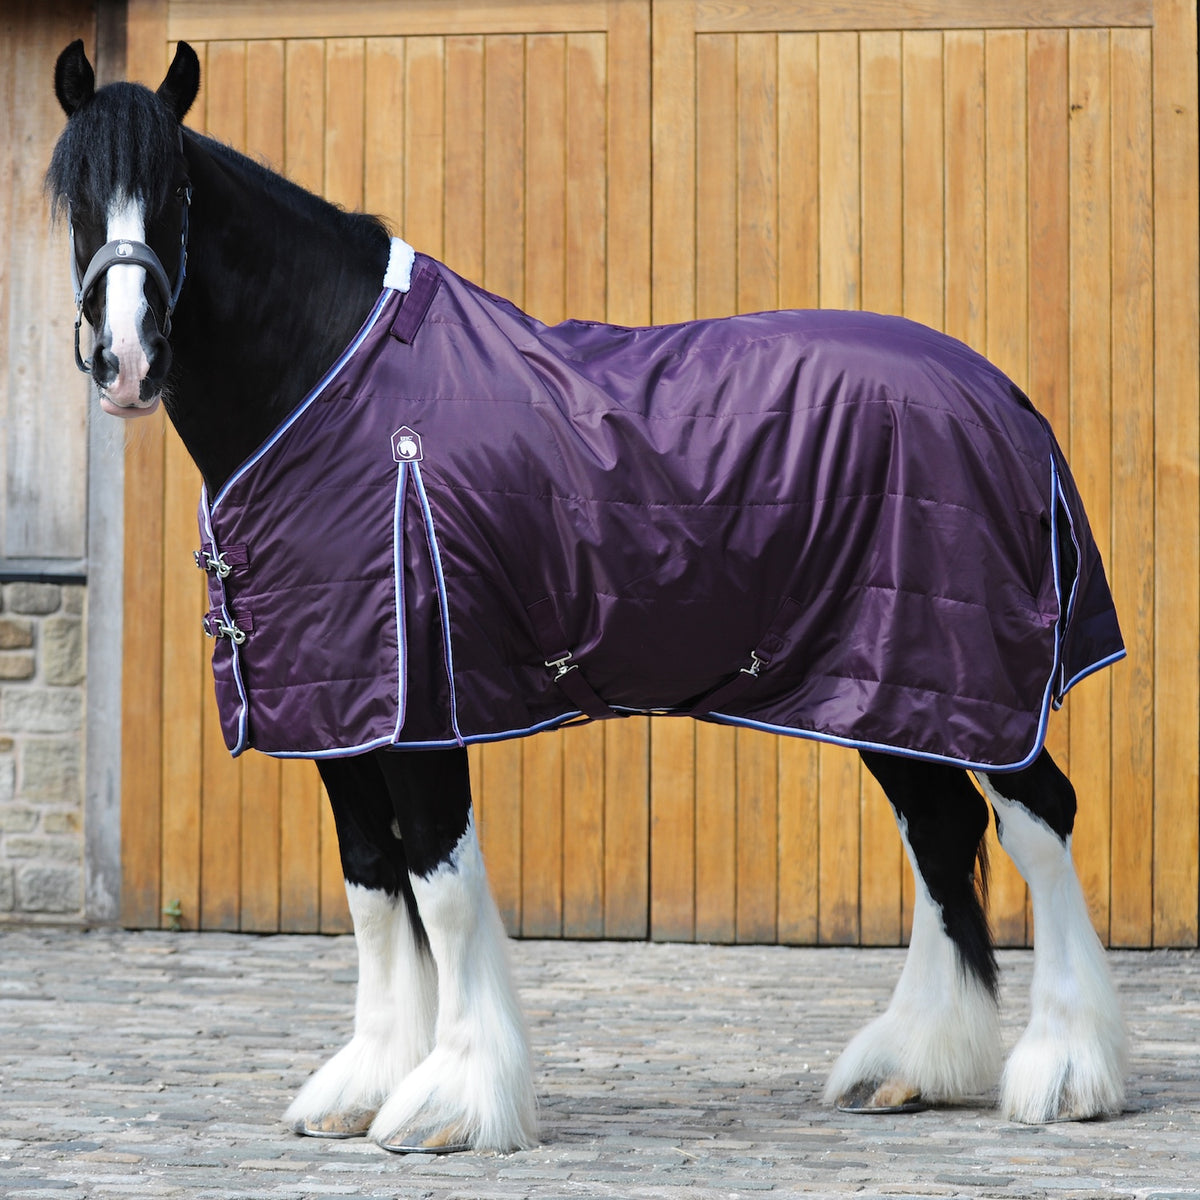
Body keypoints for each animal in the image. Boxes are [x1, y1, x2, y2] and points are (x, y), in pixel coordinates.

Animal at [47, 39, 1128, 1154]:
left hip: (974, 686)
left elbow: (440, 889)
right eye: (72, 197)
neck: (331, 389)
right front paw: (370, 1080)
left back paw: (1065, 1071)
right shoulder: (337, 711)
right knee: (940, 831)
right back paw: (912, 1063)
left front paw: (452, 1098)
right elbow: (372, 887)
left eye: (175, 188)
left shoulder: (423, 707)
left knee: (1038, 821)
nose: (126, 362)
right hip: (892, 689)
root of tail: (1006, 398)